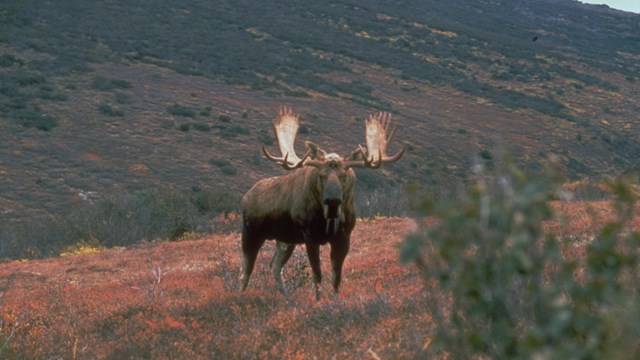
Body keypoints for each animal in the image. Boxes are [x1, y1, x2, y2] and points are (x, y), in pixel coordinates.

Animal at [240, 106, 404, 298]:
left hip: (285, 240)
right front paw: (318, 301)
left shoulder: (344, 238)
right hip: (251, 233)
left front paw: (334, 300)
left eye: (344, 175)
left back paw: (287, 298)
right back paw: (239, 295)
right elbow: (317, 275)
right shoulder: (310, 237)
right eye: (321, 175)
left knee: (275, 266)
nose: (333, 200)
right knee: (245, 271)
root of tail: (245, 197)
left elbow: (336, 278)